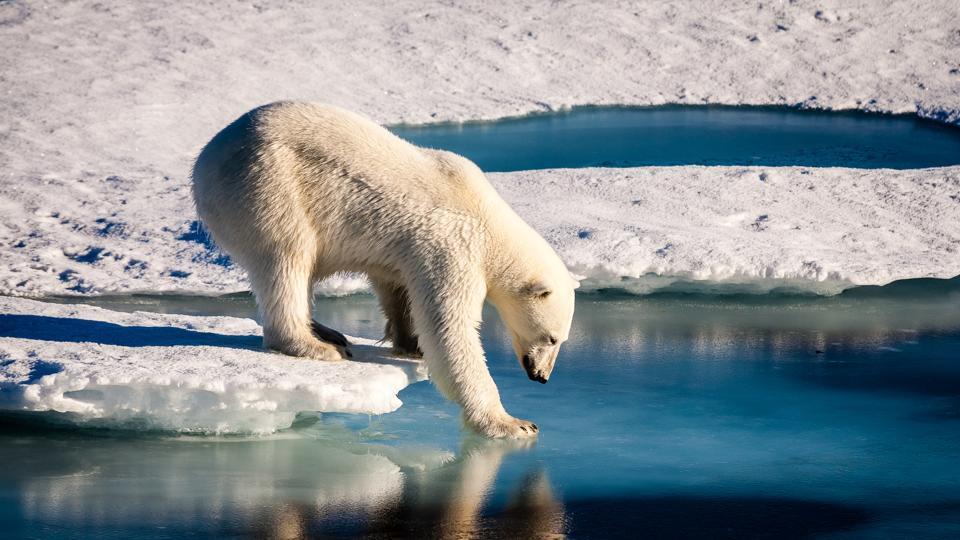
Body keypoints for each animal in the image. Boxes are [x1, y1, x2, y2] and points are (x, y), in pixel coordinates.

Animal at [191, 102, 572, 438]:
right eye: (551, 338)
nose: (541, 376)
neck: (488, 220)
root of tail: (205, 160)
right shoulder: (452, 247)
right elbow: (450, 330)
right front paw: (512, 423)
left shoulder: (407, 250)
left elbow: (396, 286)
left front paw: (410, 343)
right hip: (268, 185)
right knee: (287, 257)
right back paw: (315, 345)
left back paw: (327, 332)